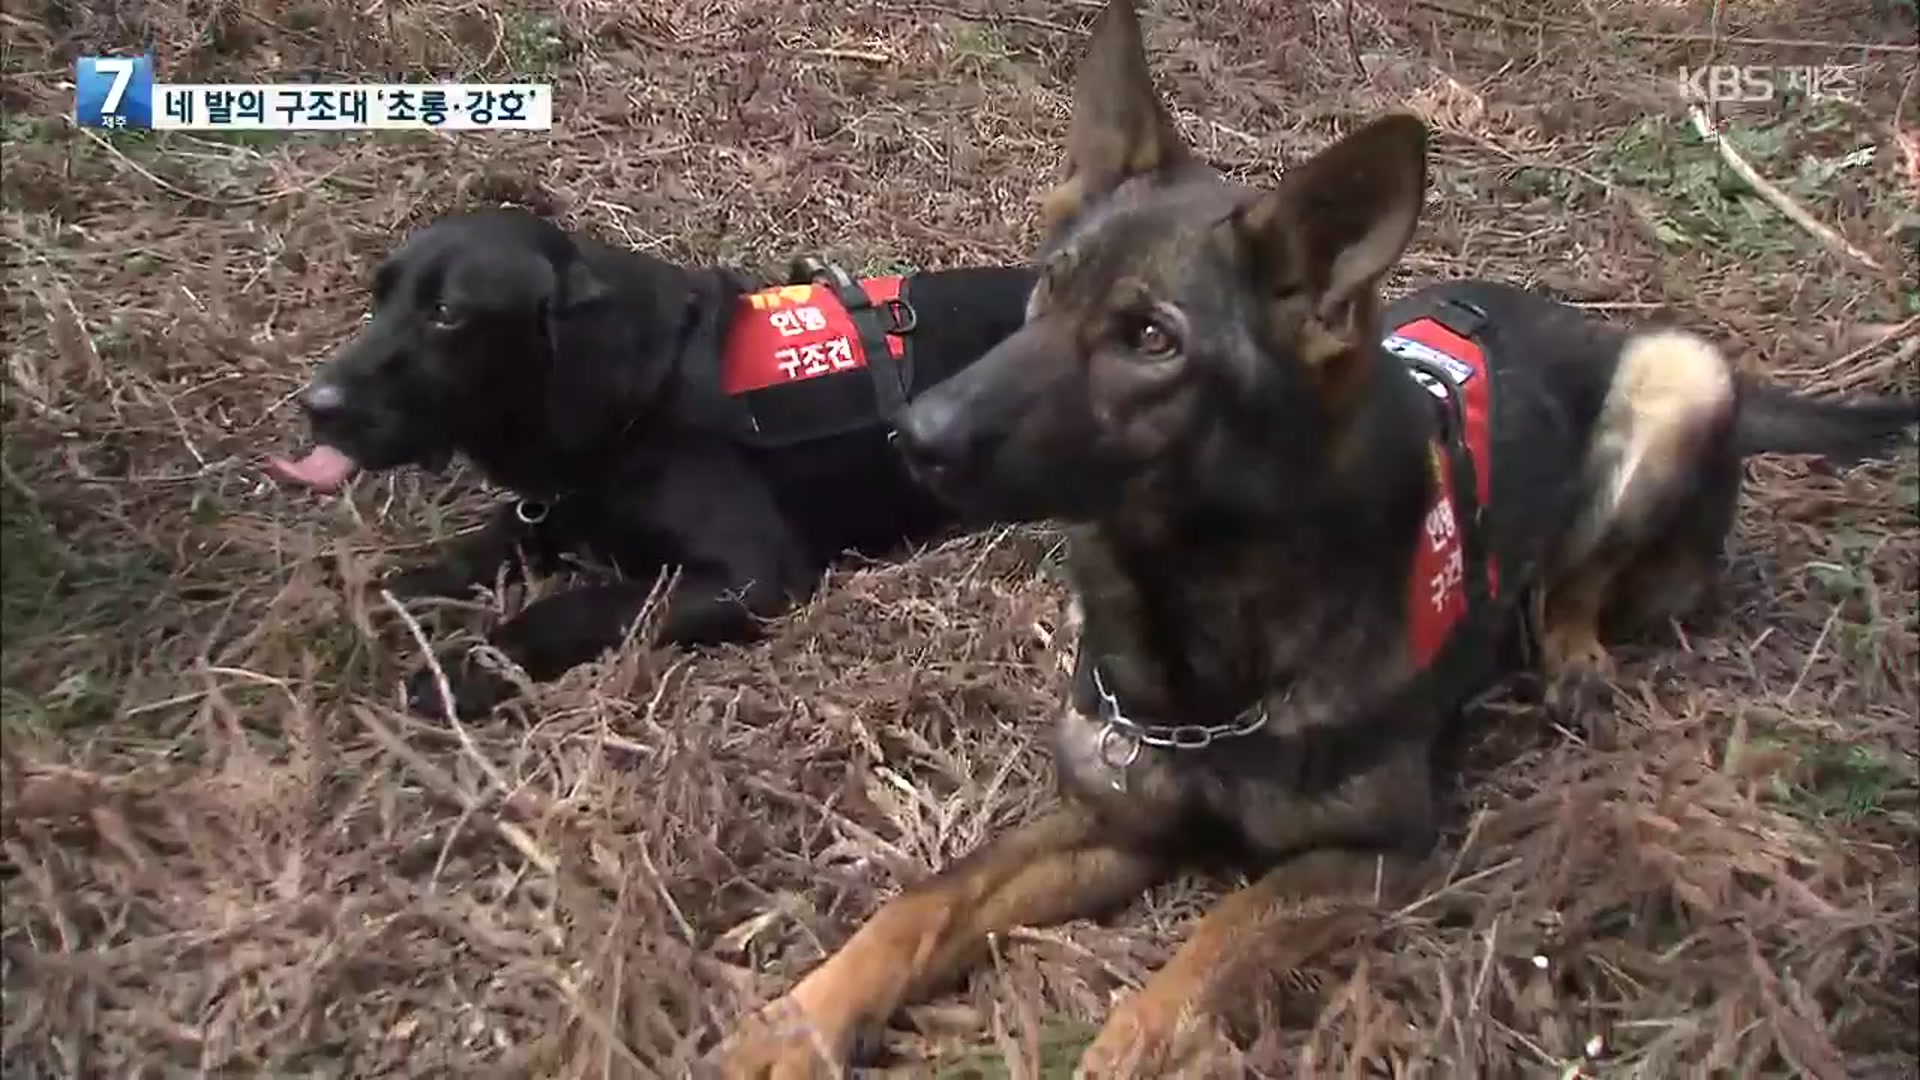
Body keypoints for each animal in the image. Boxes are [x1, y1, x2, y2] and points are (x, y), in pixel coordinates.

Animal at [274, 209, 1036, 714]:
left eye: (446, 314)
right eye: (379, 296)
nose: (315, 404)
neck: (644, 392)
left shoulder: (753, 577)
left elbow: (572, 607)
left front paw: (464, 671)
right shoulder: (556, 511)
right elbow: (475, 554)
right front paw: (384, 598)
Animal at [718, 4, 1920, 1068]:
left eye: (1151, 340)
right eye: (1045, 292)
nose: (913, 435)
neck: (1196, 613)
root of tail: (1583, 322)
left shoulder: (1370, 855)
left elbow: (1210, 946)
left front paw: (1132, 1043)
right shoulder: (1106, 819)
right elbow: (923, 904)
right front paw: (795, 1024)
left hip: (1679, 372)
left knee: (1579, 578)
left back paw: (1575, 654)